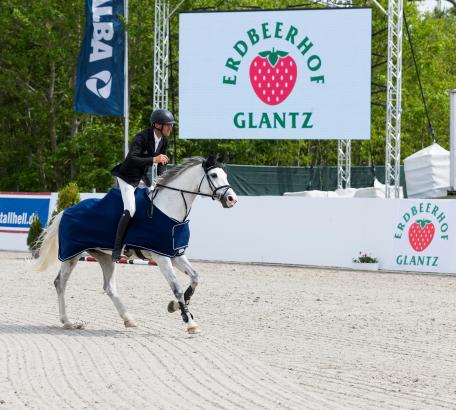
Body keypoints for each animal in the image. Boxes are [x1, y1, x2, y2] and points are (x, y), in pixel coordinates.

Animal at [34, 155, 239, 334]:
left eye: (225, 175)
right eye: (214, 175)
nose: (232, 199)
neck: (169, 209)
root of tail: (66, 211)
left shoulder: (176, 254)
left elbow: (195, 278)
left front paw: (175, 307)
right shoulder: (161, 257)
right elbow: (177, 288)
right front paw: (190, 323)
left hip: (105, 257)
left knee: (109, 287)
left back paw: (128, 319)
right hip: (72, 255)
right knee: (60, 283)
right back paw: (68, 322)